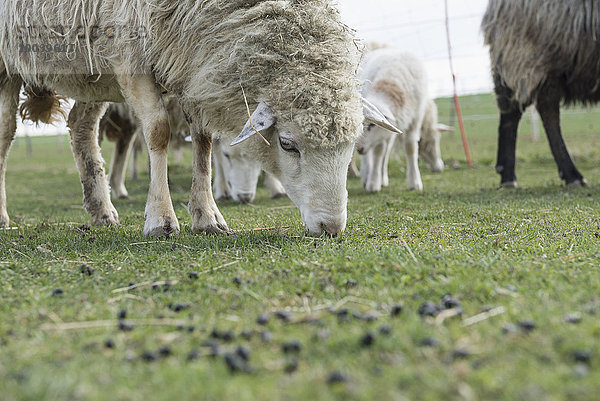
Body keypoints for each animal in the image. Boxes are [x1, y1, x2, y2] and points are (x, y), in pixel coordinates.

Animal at [1, 0, 398, 236]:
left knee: (81, 127)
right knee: (6, 133)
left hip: (91, 70)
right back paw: (4, 217)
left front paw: (207, 216)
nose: (331, 227)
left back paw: (102, 210)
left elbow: (204, 143)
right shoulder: (131, 55)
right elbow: (158, 132)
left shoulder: (191, 65)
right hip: (10, 61)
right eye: (287, 144)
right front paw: (161, 220)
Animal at [354, 48, 448, 192]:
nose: (358, 149)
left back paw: (383, 178)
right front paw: (373, 183)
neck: (390, 81)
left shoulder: (414, 121)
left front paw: (414, 182)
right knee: (371, 156)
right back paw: (366, 176)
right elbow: (377, 151)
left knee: (386, 152)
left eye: (372, 125)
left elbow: (410, 148)